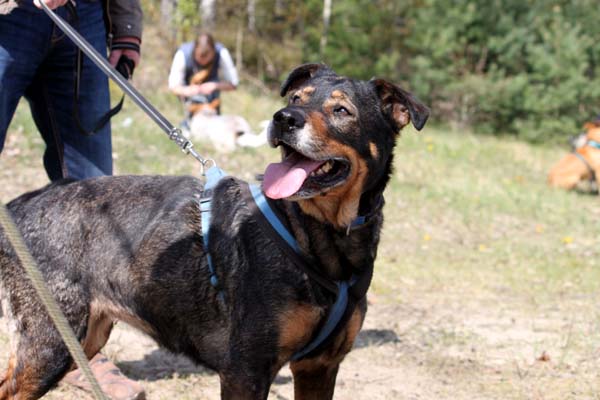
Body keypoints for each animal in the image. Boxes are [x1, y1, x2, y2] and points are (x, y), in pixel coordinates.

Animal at [0, 63, 429, 400]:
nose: (283, 118)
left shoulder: (319, 367)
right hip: (53, 341)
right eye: (295, 97)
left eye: (342, 110)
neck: (315, 235)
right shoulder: (246, 371)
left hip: (84, 335)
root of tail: (20, 204)